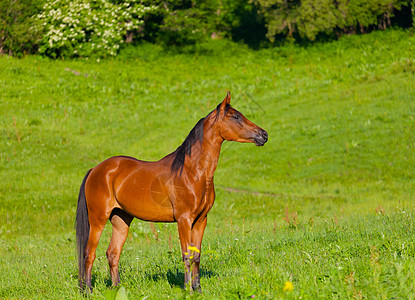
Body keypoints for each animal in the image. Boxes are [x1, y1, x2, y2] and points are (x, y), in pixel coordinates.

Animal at [76, 91, 268, 290]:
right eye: (236, 117)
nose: (264, 134)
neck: (193, 172)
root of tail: (96, 169)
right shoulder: (184, 220)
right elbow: (186, 255)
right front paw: (187, 289)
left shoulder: (201, 220)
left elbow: (196, 255)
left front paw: (198, 288)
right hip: (97, 219)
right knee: (89, 253)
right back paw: (87, 290)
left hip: (121, 219)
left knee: (113, 253)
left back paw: (116, 288)